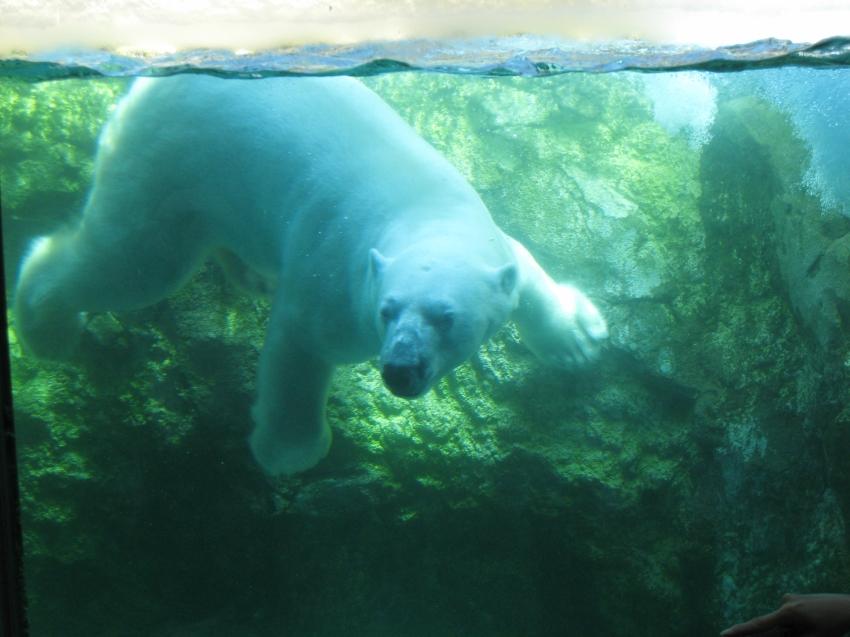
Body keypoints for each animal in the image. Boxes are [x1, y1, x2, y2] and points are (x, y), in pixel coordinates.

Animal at [14, 73, 608, 472]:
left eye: (446, 318)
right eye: (387, 310)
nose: (399, 370)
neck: (422, 210)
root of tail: (141, 87)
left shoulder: (490, 241)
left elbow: (525, 268)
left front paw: (578, 340)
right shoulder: (334, 274)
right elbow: (300, 349)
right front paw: (290, 450)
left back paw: (250, 274)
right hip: (171, 160)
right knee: (133, 261)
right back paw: (45, 325)